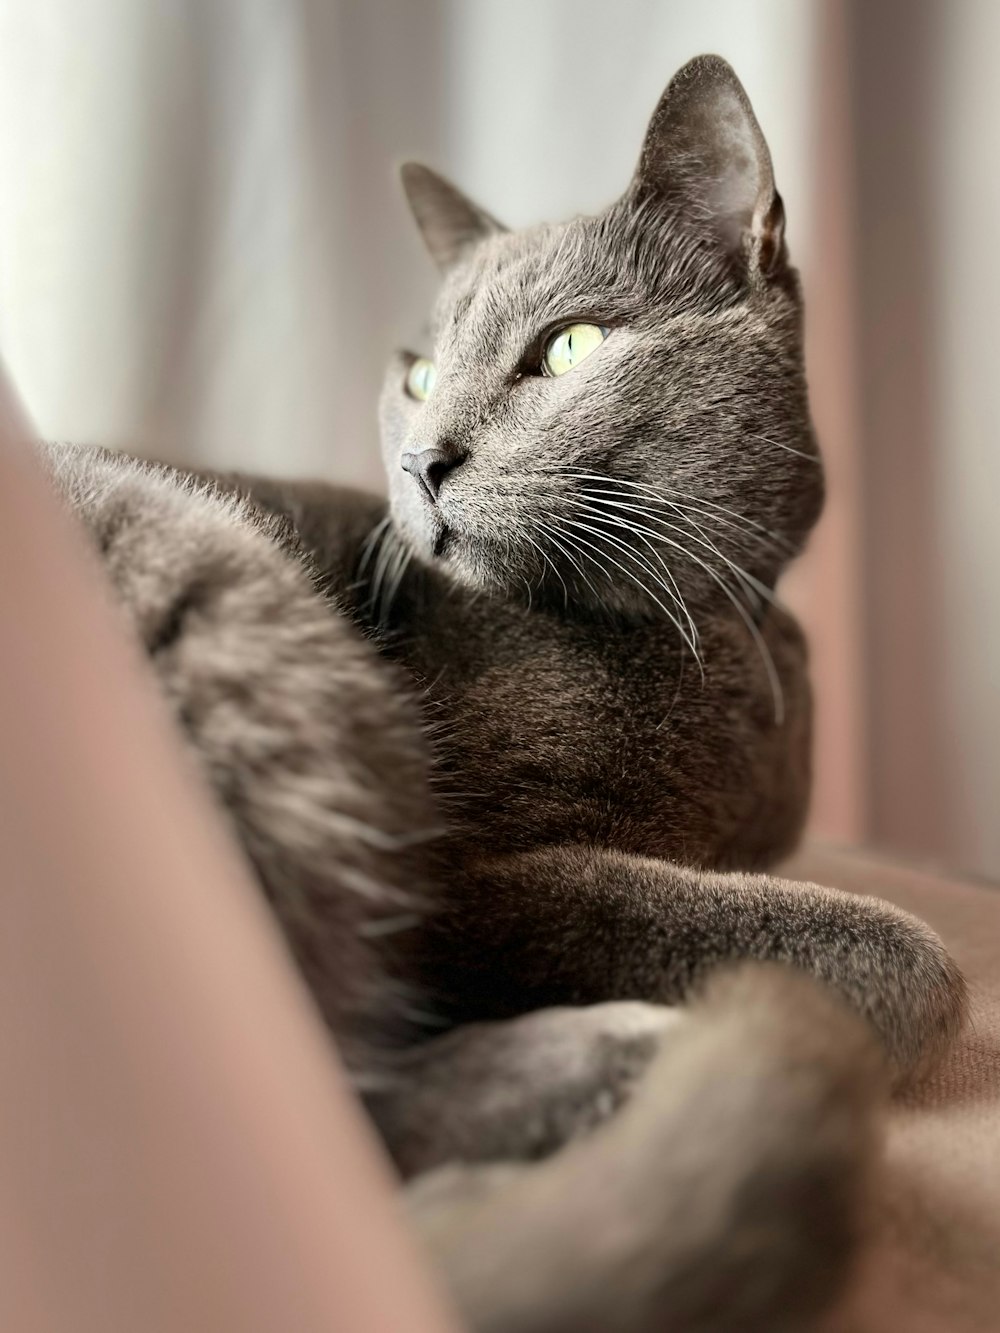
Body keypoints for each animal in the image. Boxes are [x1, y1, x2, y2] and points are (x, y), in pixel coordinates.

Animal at [41, 54, 970, 1333]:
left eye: (569, 348)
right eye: (420, 373)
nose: (422, 458)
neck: (709, 634)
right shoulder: (456, 871)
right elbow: (872, 951)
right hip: (213, 574)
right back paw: (611, 1076)